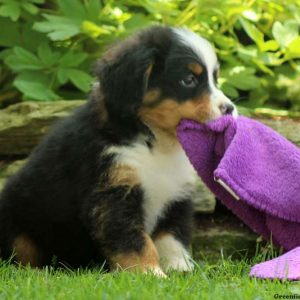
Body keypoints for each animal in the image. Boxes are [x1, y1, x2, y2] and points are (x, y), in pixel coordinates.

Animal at [0, 24, 237, 276]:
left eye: (215, 79)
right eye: (189, 79)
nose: (230, 108)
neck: (156, 145)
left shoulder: (176, 195)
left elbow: (171, 238)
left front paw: (181, 269)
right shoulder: (113, 193)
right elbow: (136, 241)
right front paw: (150, 273)